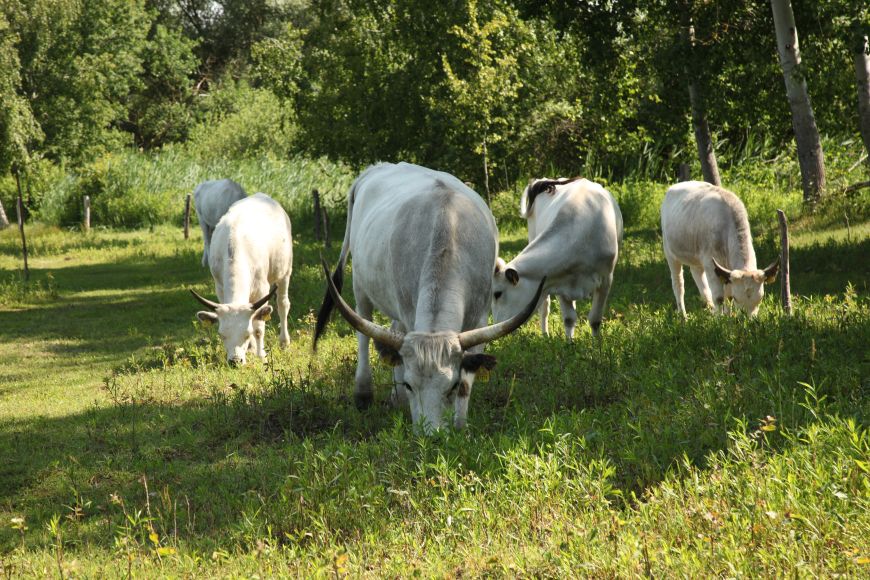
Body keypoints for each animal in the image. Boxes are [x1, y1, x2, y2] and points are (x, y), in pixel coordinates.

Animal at [191, 195, 292, 368]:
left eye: (246, 333)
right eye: (222, 335)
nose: (235, 361)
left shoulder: (262, 289)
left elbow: (259, 326)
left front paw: (261, 355)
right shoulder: (220, 287)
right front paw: (251, 349)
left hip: (285, 271)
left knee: (283, 304)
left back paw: (284, 342)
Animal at [314, 161, 544, 432]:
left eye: (452, 386)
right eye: (410, 385)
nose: (430, 435)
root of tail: (376, 168)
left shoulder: (479, 321)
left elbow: (467, 378)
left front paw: (460, 424)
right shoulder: (407, 310)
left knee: (392, 331)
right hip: (361, 284)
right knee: (364, 330)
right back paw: (364, 394)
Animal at [494, 177, 624, 340]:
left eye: (497, 293)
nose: (496, 325)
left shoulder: (606, 279)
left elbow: (595, 319)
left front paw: (596, 343)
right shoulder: (558, 280)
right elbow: (569, 318)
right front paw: (569, 343)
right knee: (544, 307)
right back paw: (545, 334)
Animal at [660, 181, 784, 318]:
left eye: (760, 298)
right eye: (737, 298)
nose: (749, 320)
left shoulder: (726, 269)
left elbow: (727, 296)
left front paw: (728, 316)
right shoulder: (711, 263)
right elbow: (719, 297)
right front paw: (720, 320)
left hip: (696, 257)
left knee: (699, 278)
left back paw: (709, 309)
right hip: (670, 253)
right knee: (678, 284)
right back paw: (683, 316)